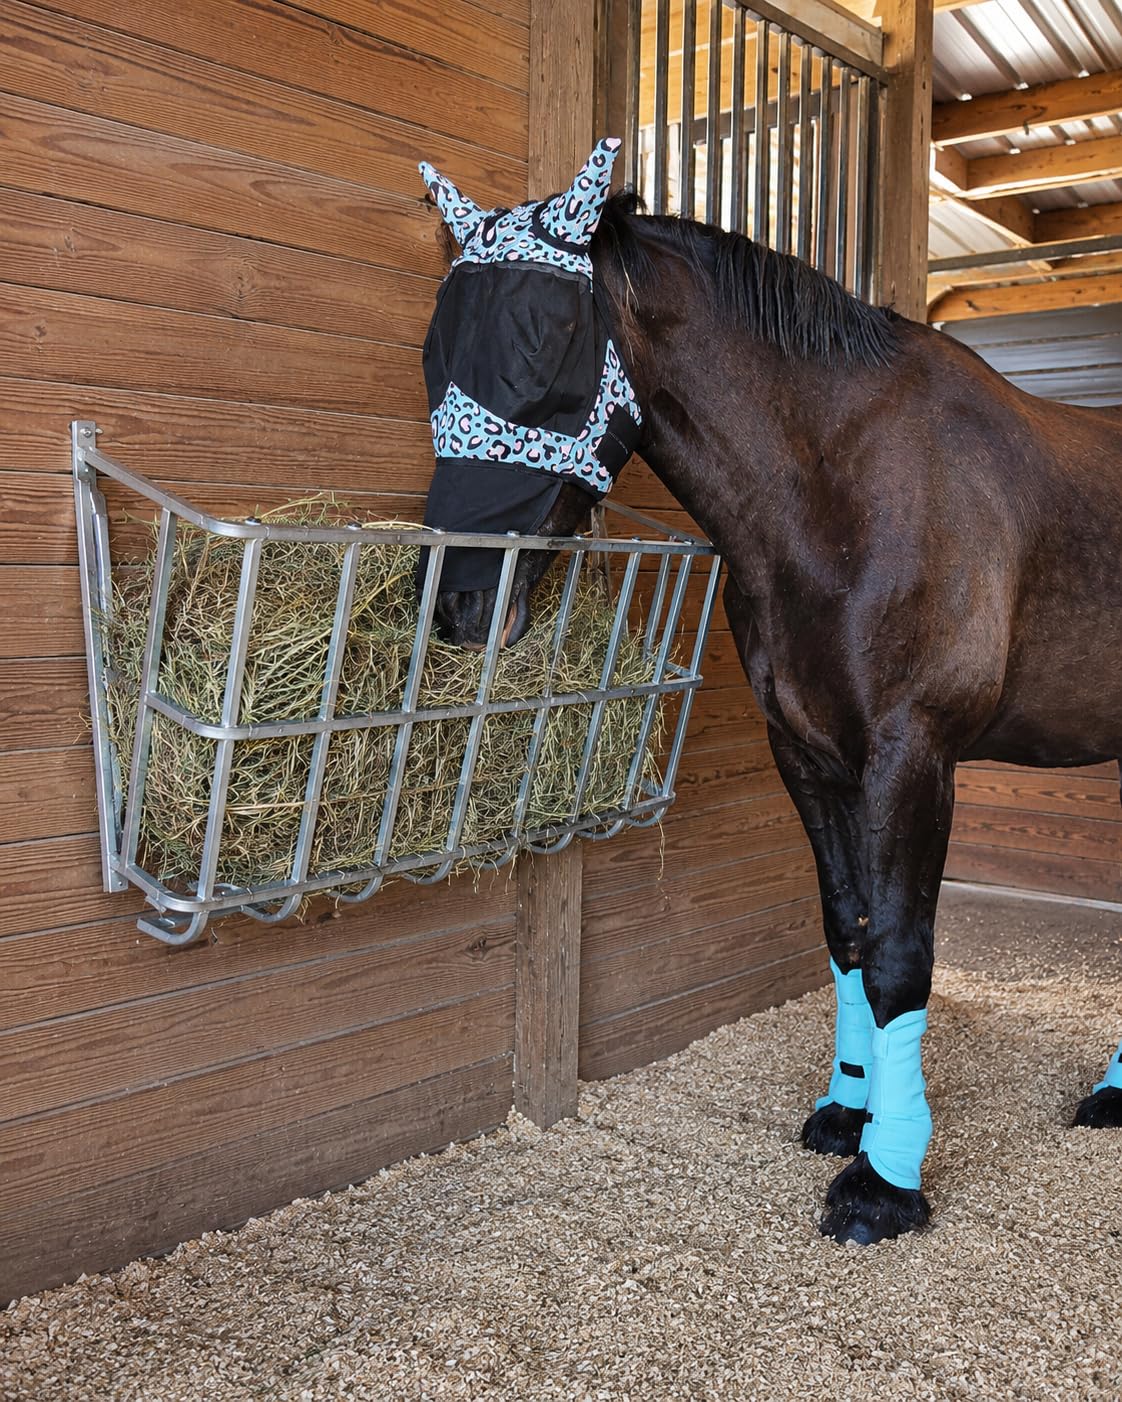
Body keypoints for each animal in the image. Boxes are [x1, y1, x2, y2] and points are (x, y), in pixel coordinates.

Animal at [417, 141, 1122, 1244]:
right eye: (432, 354)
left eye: (547, 343)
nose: (457, 602)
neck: (845, 492)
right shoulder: (808, 751)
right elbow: (847, 931)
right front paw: (846, 1110)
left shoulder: (911, 753)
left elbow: (899, 953)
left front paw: (886, 1181)